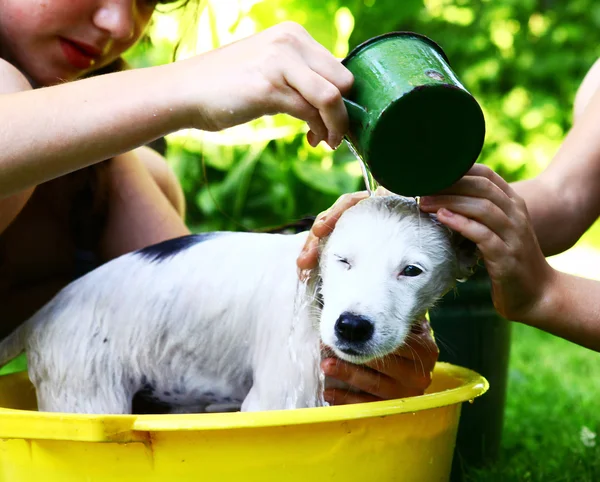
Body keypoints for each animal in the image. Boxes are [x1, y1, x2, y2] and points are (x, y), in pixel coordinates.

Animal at [0, 196, 478, 414]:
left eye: (411, 271)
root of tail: (47, 310)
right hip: (86, 393)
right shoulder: (277, 400)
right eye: (343, 260)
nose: (352, 327)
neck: (318, 297)